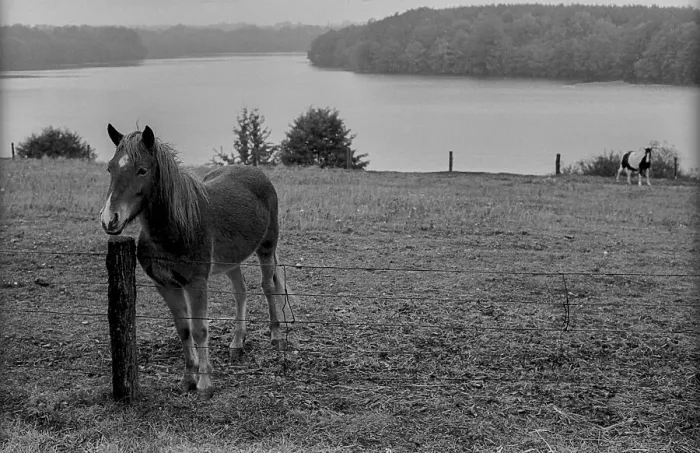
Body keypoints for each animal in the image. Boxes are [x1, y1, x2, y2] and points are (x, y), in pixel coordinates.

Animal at [100, 124, 293, 399]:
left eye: (142, 170)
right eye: (111, 168)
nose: (109, 219)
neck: (177, 227)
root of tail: (256, 172)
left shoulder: (196, 284)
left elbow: (200, 329)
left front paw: (204, 384)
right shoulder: (166, 285)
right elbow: (184, 329)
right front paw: (188, 378)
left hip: (266, 248)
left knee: (268, 288)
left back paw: (276, 337)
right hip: (232, 261)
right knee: (241, 291)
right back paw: (237, 343)